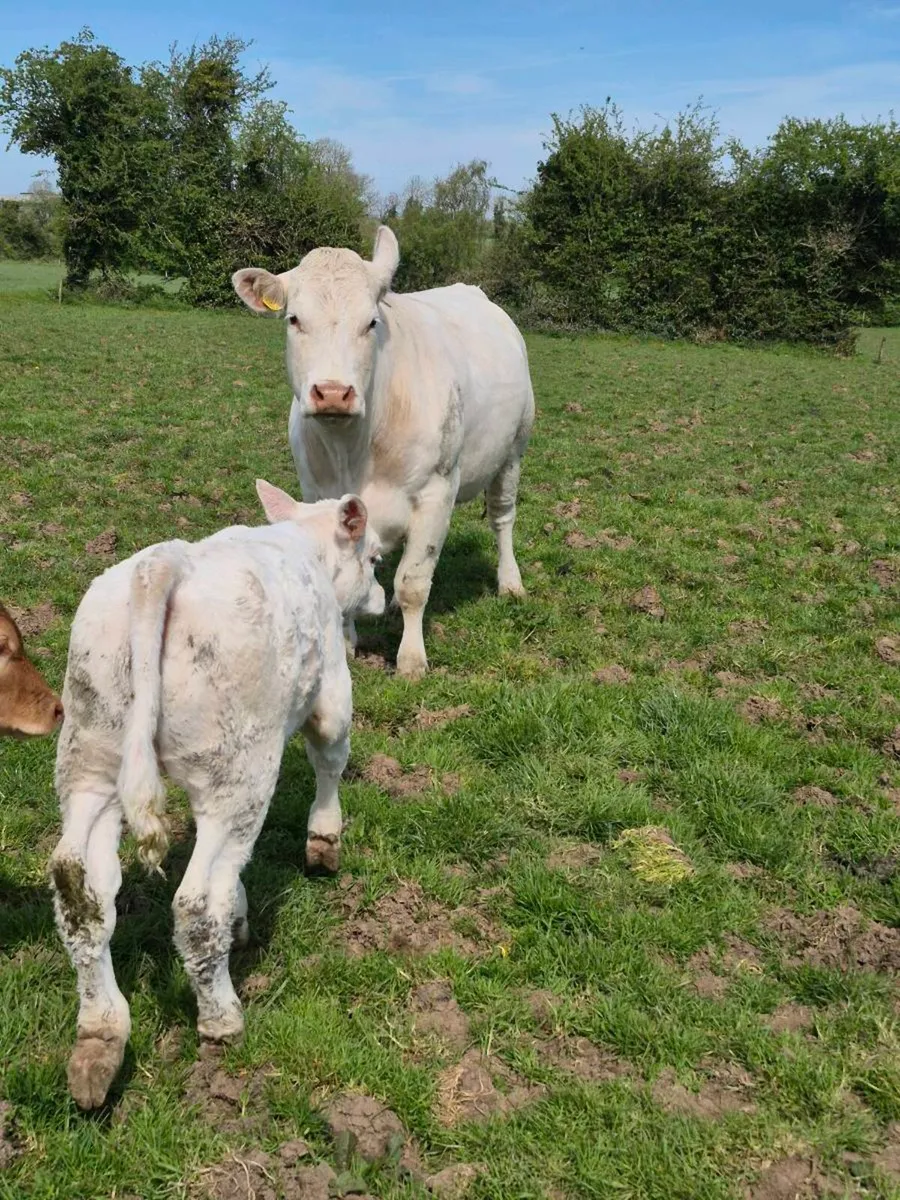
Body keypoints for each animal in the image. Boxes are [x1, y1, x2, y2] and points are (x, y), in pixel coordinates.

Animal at [49, 483, 384, 1110]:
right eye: (375, 556)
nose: (379, 596)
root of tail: (163, 566)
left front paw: (243, 913)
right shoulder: (331, 687)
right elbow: (330, 757)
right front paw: (324, 843)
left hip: (89, 754)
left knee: (82, 893)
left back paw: (99, 1041)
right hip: (239, 770)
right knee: (197, 903)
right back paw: (221, 1019)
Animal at [232, 225, 535, 680]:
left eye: (371, 322)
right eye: (294, 319)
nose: (333, 393)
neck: (354, 449)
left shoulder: (437, 492)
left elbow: (414, 582)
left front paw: (411, 661)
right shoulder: (318, 493)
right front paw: (345, 644)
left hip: (513, 450)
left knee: (502, 518)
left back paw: (510, 582)